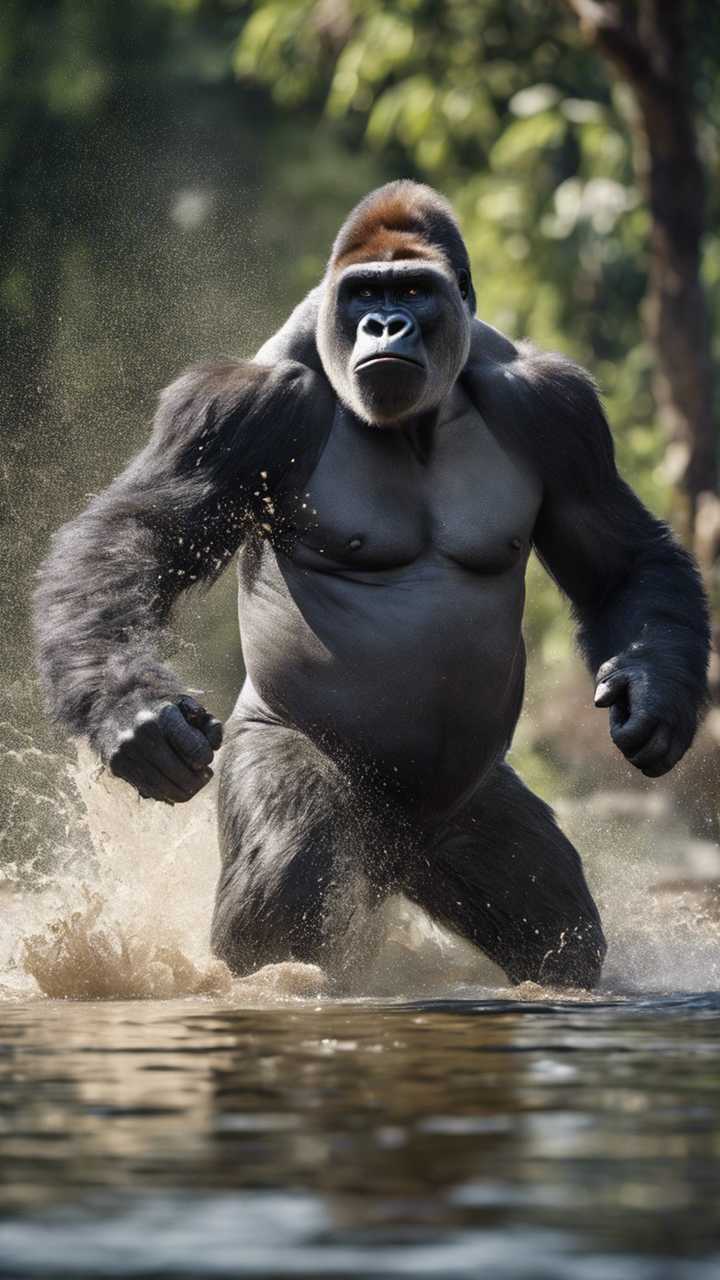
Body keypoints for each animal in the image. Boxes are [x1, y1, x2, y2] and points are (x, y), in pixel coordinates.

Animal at [34, 180, 710, 989]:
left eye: (412, 290)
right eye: (365, 293)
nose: (385, 325)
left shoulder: (559, 407)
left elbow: (621, 561)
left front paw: (656, 695)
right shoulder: (236, 406)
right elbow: (136, 537)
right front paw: (134, 711)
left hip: (462, 820)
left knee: (559, 928)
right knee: (289, 874)